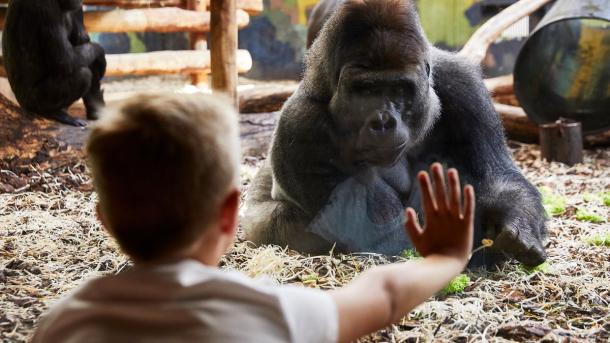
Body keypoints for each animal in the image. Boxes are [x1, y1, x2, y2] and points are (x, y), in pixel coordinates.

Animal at [243, 0, 548, 268]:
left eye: (399, 89)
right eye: (365, 91)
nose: (382, 122)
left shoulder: (462, 82)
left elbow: (497, 177)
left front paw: (517, 224)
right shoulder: (300, 125)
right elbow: (392, 237)